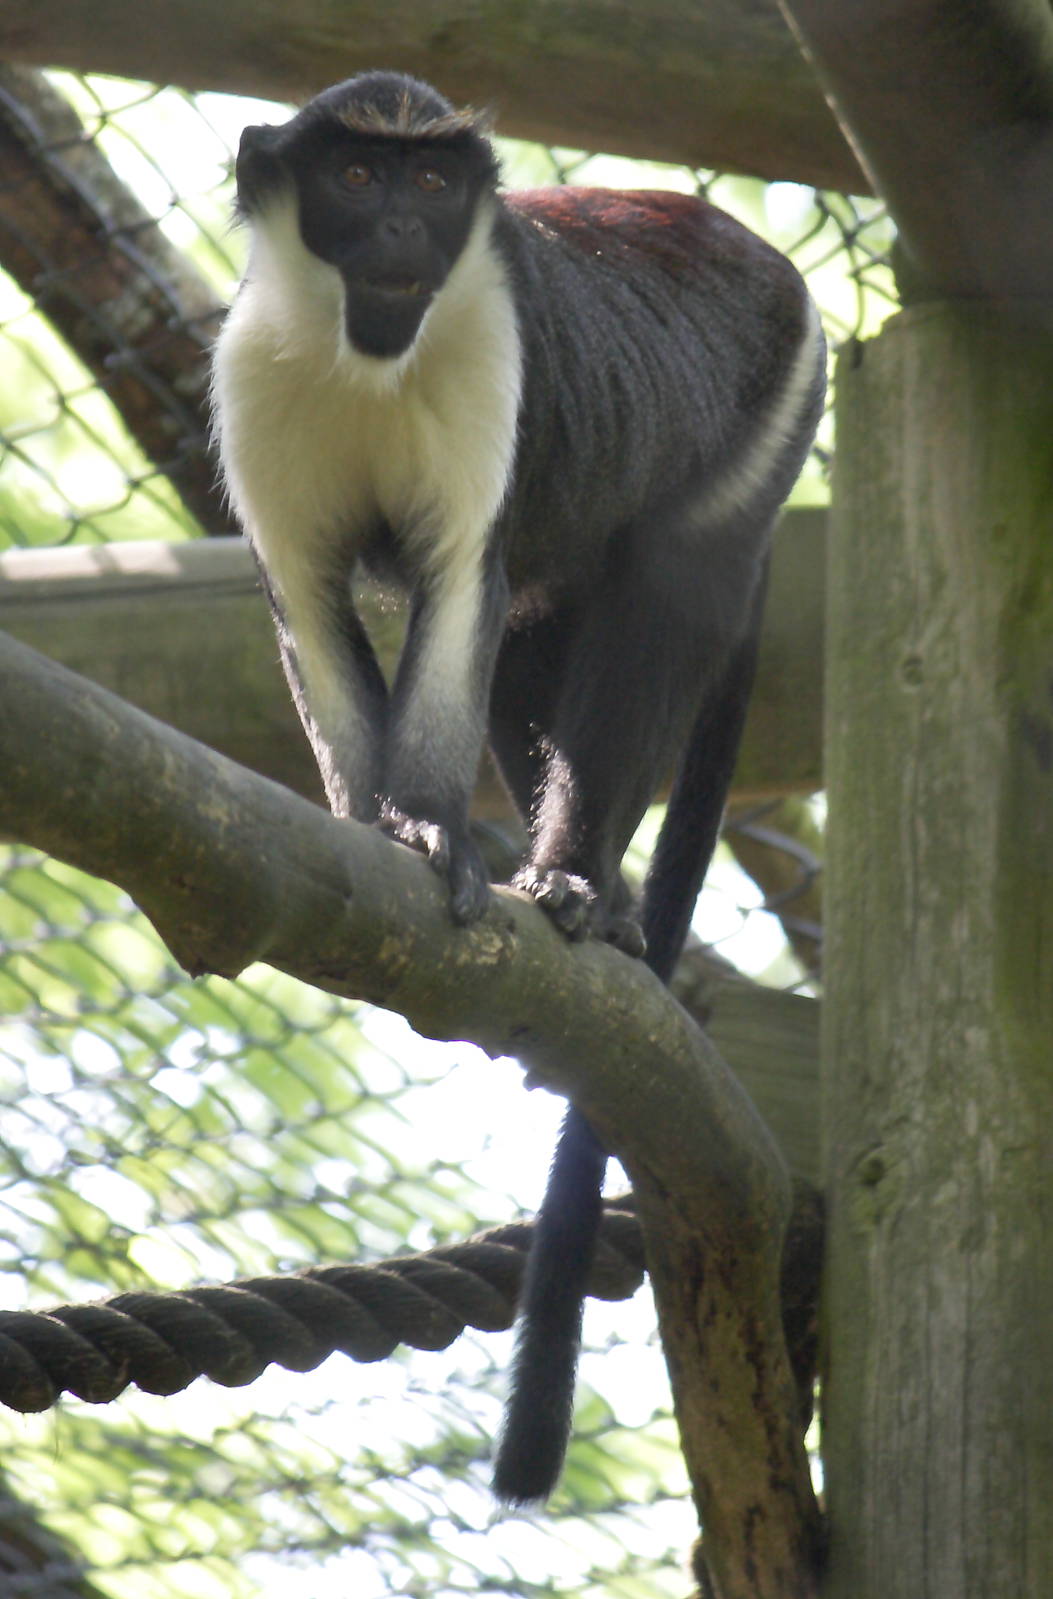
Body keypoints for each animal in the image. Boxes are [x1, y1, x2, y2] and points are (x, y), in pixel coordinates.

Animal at [211, 70, 826, 1506]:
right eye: (357, 178)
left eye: (434, 183)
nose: (402, 233)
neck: (366, 349)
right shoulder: (253, 380)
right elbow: (311, 609)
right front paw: (369, 826)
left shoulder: (491, 361)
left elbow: (457, 590)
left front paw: (430, 825)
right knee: (546, 634)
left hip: (769, 419)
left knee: (651, 613)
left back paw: (576, 881)